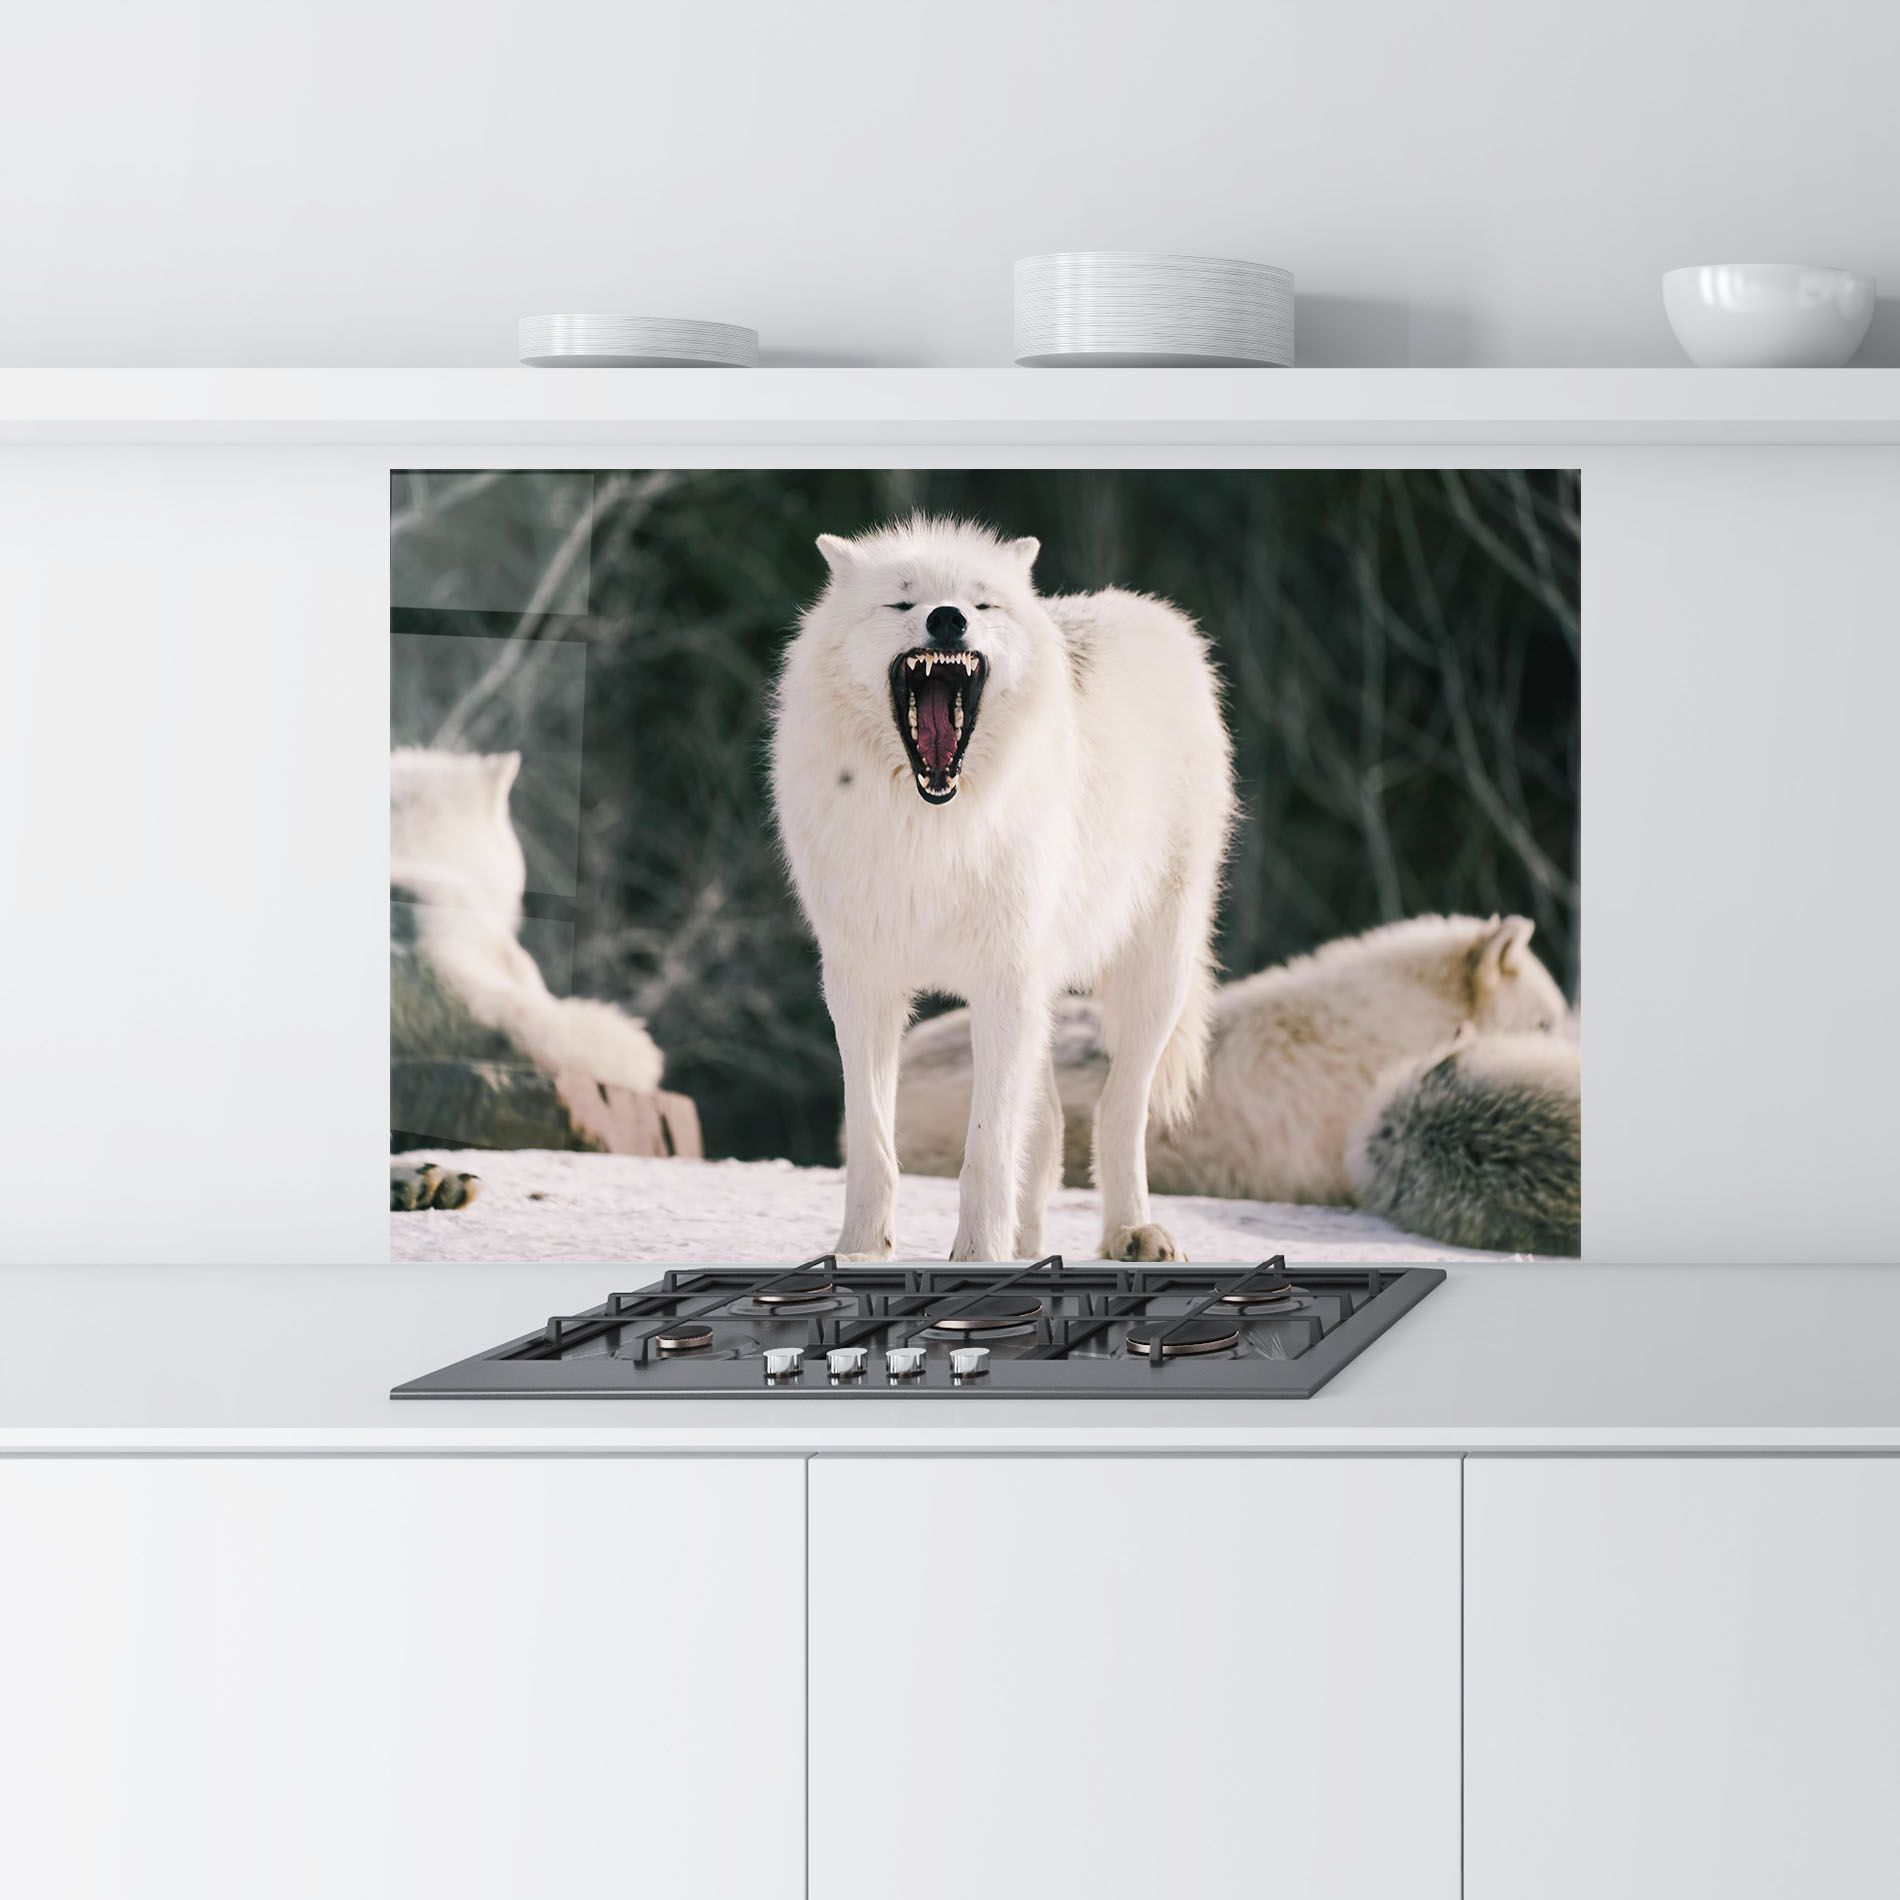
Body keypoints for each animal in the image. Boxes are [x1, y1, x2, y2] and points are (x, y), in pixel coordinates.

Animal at [770, 516, 1234, 1263]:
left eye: (981, 603)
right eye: (903, 602)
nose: (948, 618)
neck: (932, 830)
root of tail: (1151, 613)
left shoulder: (1003, 983)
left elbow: (986, 1149)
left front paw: (979, 1254)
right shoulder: (861, 984)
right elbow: (873, 1140)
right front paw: (861, 1249)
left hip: (1153, 973)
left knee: (1118, 1108)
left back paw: (1131, 1232)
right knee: (1046, 1130)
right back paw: (1031, 1244)